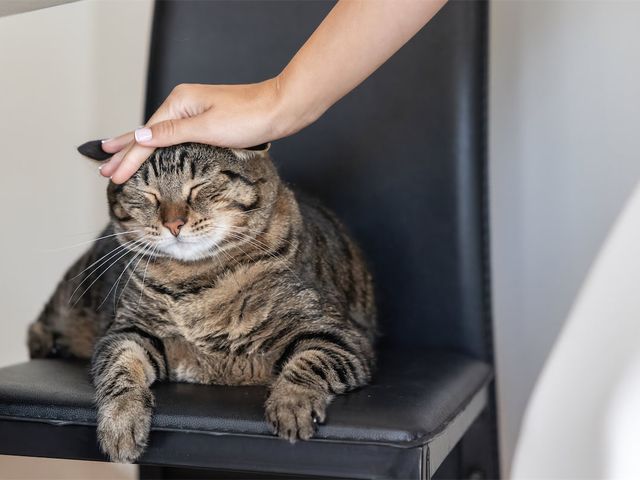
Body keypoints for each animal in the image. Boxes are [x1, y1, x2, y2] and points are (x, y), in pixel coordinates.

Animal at [28, 143, 376, 464]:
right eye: (147, 193)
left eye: (198, 186)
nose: (173, 224)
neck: (193, 280)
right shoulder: (128, 331)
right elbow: (120, 369)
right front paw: (121, 422)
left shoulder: (339, 335)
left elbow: (308, 364)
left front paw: (291, 404)